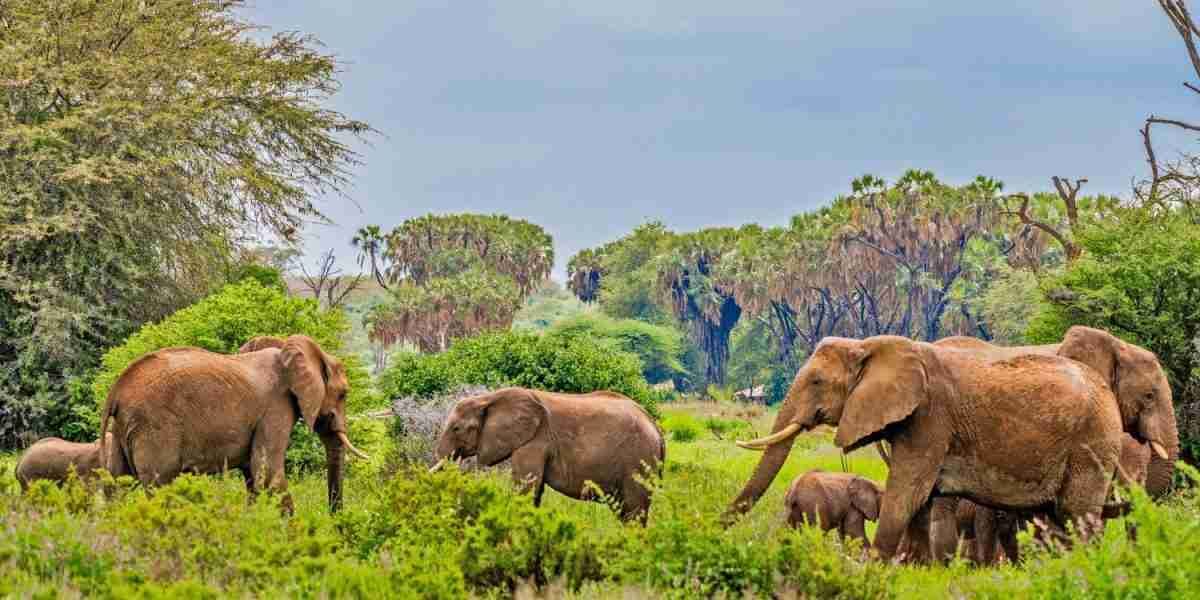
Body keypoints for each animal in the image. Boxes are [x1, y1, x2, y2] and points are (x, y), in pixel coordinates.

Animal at [99, 335, 369, 514]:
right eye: (344, 394)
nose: (335, 520)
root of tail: (115, 391)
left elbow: (253, 475)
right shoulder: (275, 407)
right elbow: (268, 472)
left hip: (123, 429)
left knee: (116, 486)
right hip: (155, 427)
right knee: (159, 487)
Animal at [431, 387, 665, 523]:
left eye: (456, 429)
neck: (489, 398)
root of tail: (656, 427)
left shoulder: (535, 440)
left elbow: (526, 488)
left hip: (638, 460)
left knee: (634, 511)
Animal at [727, 335, 1124, 561]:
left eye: (816, 381)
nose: (719, 528)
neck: (871, 346)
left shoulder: (931, 419)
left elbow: (907, 493)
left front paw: (874, 570)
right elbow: (920, 502)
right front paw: (911, 570)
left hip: (1091, 442)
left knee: (1079, 516)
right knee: (1058, 519)